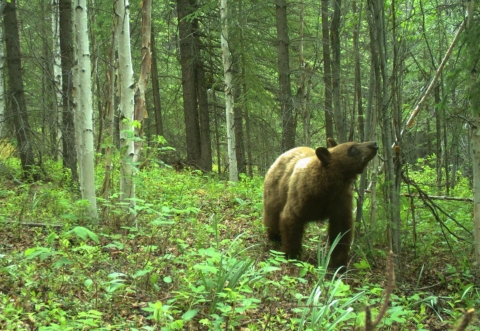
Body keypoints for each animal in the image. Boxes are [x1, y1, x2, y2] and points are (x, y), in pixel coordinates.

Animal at [262, 139, 378, 272]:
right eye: (352, 148)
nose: (374, 144)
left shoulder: (340, 199)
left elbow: (341, 229)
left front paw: (338, 263)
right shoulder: (301, 196)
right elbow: (290, 219)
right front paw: (292, 254)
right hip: (275, 191)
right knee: (272, 215)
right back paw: (274, 237)